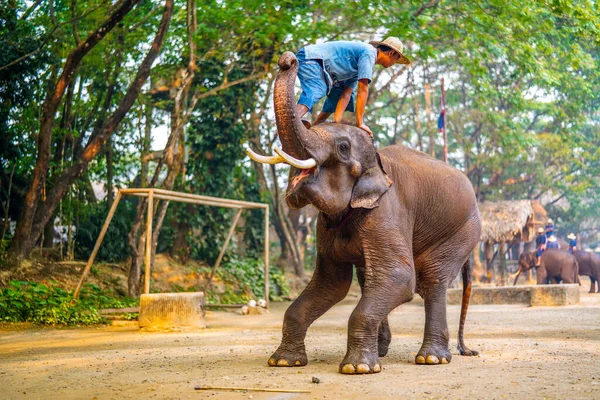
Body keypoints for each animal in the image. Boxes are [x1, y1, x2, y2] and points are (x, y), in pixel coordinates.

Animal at [246, 51, 480, 374]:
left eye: (343, 147)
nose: (287, 59)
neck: (376, 160)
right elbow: (331, 283)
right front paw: (283, 361)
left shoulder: (387, 210)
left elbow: (399, 278)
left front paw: (357, 368)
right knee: (370, 278)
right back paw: (383, 350)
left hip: (463, 230)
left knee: (432, 280)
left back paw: (431, 358)